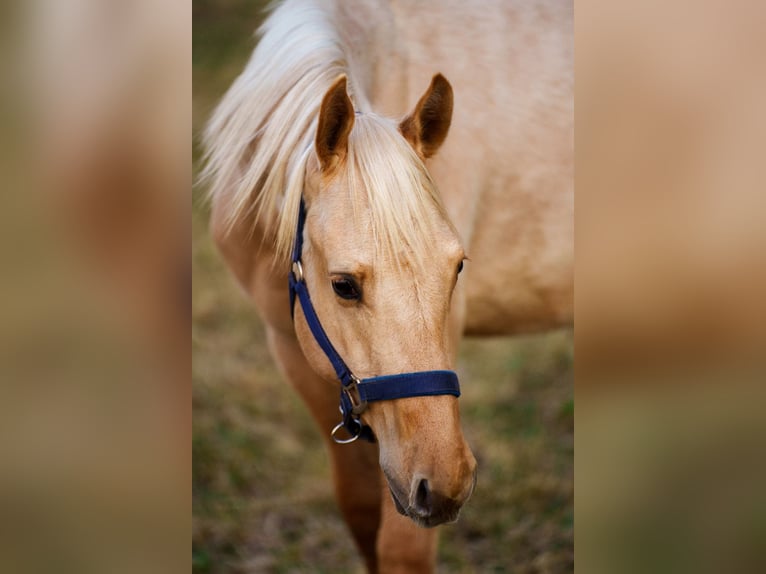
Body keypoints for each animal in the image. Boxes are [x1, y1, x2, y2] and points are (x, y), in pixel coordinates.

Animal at [202, 0, 572, 571]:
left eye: (457, 268)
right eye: (343, 285)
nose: (445, 484)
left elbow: (402, 547)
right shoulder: (292, 351)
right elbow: (359, 512)